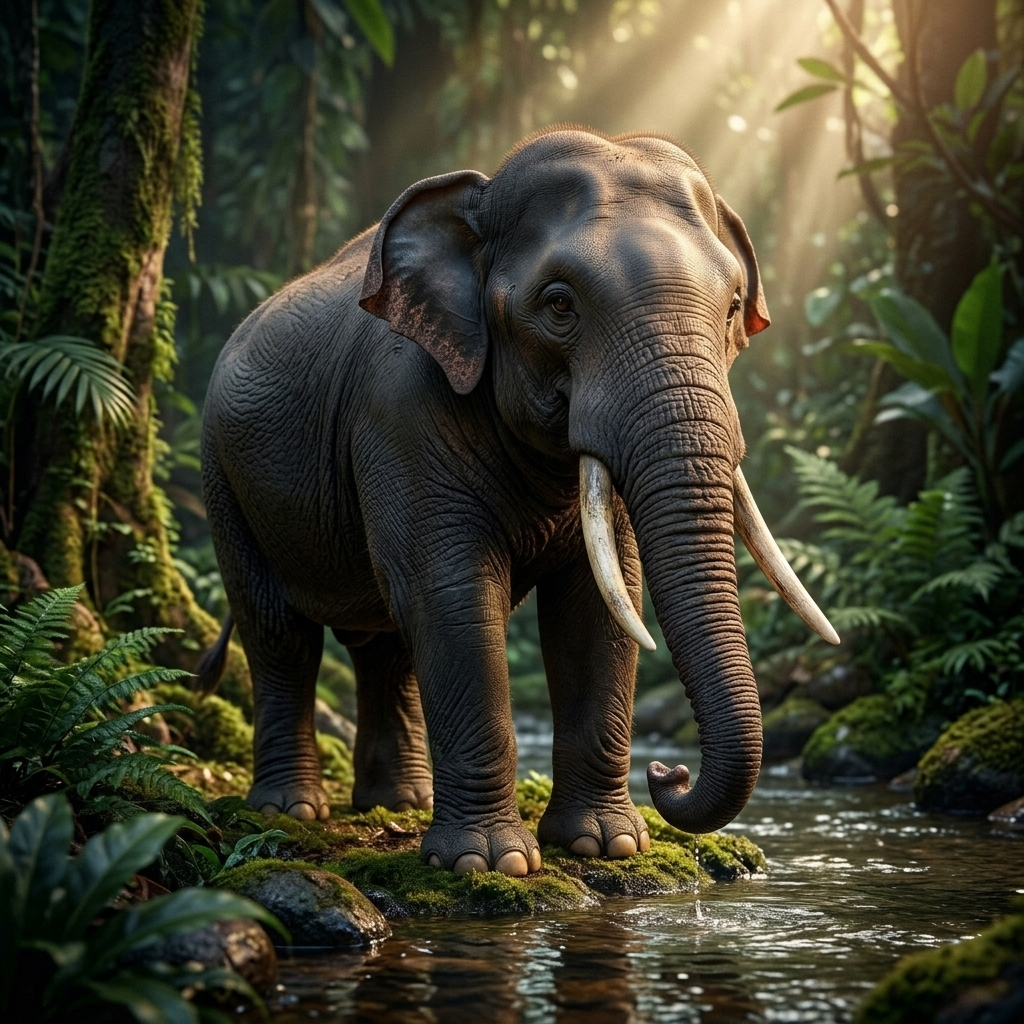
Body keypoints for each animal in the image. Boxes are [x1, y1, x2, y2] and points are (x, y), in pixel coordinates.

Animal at [199, 127, 838, 877]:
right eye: (559, 304)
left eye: (734, 306)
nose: (667, 774)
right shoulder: (398, 413)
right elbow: (449, 591)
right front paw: (489, 864)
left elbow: (599, 603)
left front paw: (605, 845)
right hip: (223, 475)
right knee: (279, 633)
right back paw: (292, 811)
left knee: (384, 644)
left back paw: (400, 803)